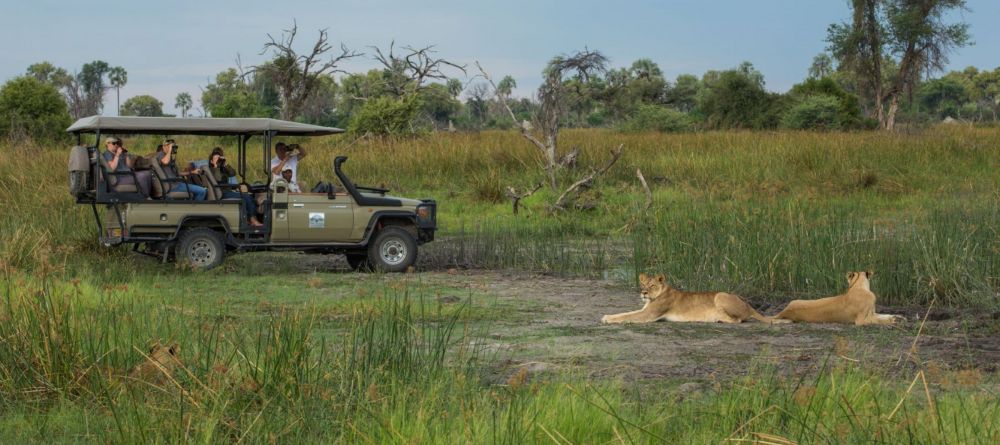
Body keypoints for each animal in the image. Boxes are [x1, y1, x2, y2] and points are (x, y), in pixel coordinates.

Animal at [596, 272, 784, 324]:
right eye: (643, 285)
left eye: (652, 285)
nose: (643, 293)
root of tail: (749, 305)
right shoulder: (645, 310)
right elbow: (625, 313)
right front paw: (607, 316)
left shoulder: (648, 315)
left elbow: (626, 316)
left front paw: (607, 319)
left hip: (721, 295)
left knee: (737, 320)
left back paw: (717, 318)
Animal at [772, 268, 908, 324]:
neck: (857, 286)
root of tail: (784, 311)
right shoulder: (861, 320)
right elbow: (879, 320)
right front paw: (893, 321)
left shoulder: (872, 313)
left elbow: (884, 315)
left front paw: (899, 317)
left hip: (796, 300)